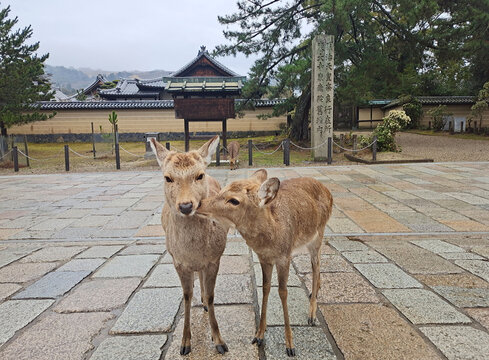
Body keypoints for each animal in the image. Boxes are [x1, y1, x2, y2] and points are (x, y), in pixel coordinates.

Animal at [150, 136, 230, 356]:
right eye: (167, 178)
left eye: (199, 175)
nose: (186, 206)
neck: (193, 252)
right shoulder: (178, 261)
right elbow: (186, 296)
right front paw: (185, 343)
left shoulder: (214, 259)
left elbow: (211, 296)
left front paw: (219, 341)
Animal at [197, 169, 332, 358]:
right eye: (222, 189)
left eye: (234, 200)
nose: (199, 203)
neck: (272, 235)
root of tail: (328, 191)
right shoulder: (263, 258)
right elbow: (266, 288)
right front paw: (259, 334)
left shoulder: (284, 256)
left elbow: (283, 292)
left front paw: (290, 346)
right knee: (318, 265)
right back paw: (315, 294)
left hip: (319, 233)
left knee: (316, 265)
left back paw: (311, 315)